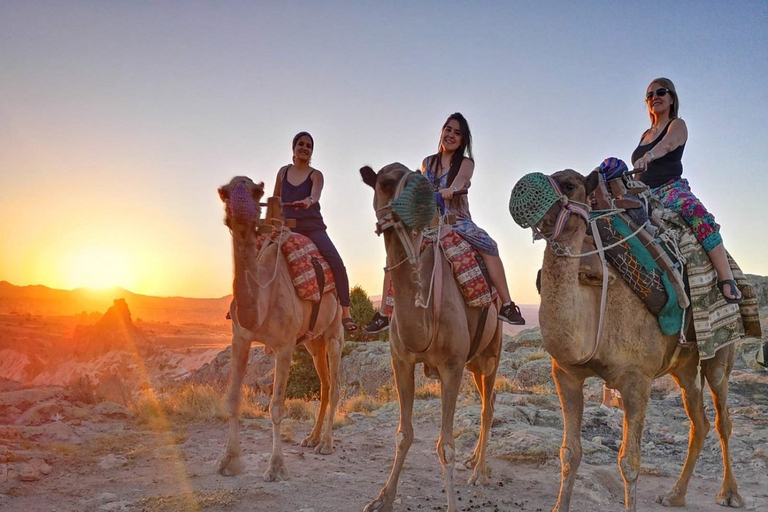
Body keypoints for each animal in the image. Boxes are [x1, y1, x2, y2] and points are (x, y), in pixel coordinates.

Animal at [213, 175, 340, 480]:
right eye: (225, 192)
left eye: (256, 191)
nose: (240, 212)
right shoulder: (240, 337)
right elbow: (233, 399)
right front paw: (229, 461)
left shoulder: (284, 346)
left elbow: (277, 407)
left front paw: (277, 467)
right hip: (312, 341)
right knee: (325, 383)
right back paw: (312, 438)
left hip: (335, 330)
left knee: (336, 384)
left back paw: (326, 444)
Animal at [362, 163, 504, 512]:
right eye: (384, 182)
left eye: (421, 179)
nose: (425, 200)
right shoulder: (401, 360)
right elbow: (403, 434)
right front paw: (382, 498)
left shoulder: (451, 365)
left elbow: (446, 446)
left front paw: (452, 503)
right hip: (473, 363)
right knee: (489, 398)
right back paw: (474, 461)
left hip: (491, 352)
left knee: (487, 407)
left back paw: (479, 473)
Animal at [510, 170, 744, 510]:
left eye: (569, 184)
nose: (522, 190)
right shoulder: (565, 373)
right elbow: (569, 452)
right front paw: (558, 505)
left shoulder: (636, 379)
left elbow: (629, 462)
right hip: (684, 366)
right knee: (698, 422)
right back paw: (675, 495)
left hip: (719, 354)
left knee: (722, 420)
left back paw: (729, 493)